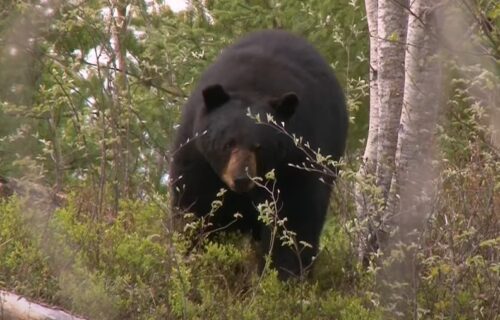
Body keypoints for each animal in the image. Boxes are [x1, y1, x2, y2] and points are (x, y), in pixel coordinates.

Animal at [170, 30, 346, 280]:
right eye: (228, 144)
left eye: (260, 147)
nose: (241, 178)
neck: (252, 87)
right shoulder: (198, 157)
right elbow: (195, 207)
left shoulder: (296, 161)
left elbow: (295, 218)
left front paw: (284, 276)